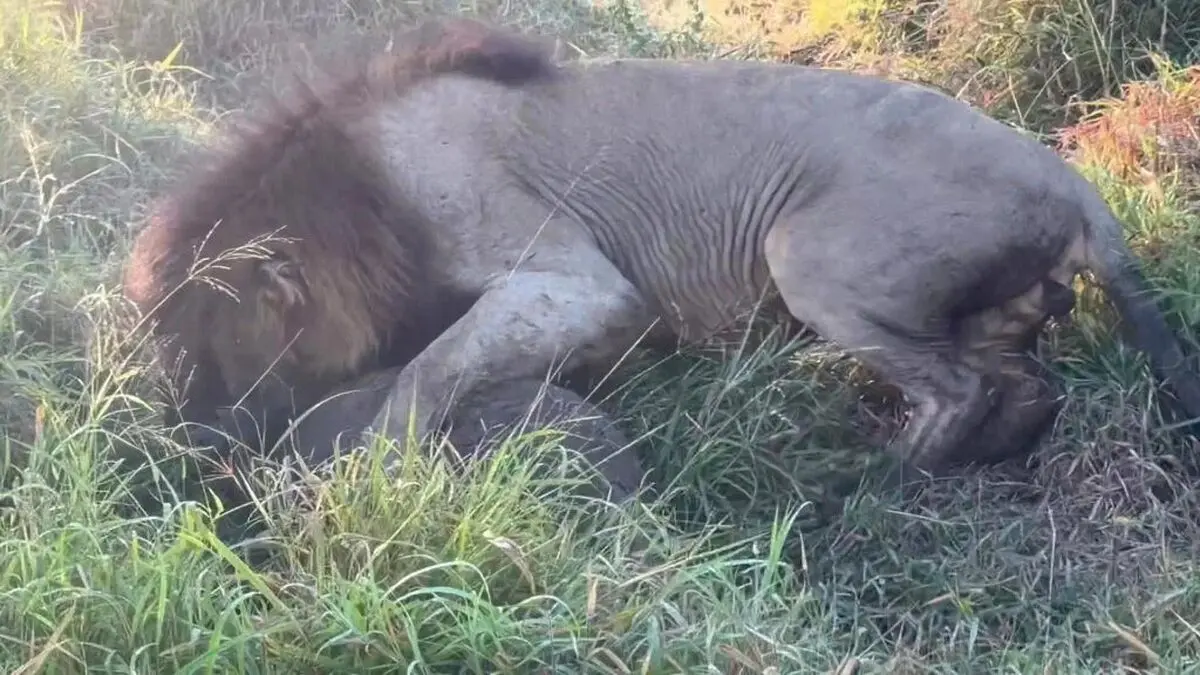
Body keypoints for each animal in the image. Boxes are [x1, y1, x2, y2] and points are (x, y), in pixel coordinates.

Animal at [123, 17, 1200, 480]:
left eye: (211, 353)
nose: (193, 444)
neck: (354, 195)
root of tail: (1073, 184)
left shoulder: (579, 282)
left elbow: (429, 369)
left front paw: (379, 479)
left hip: (806, 254)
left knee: (959, 391)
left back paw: (870, 483)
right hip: (989, 312)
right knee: (1024, 387)